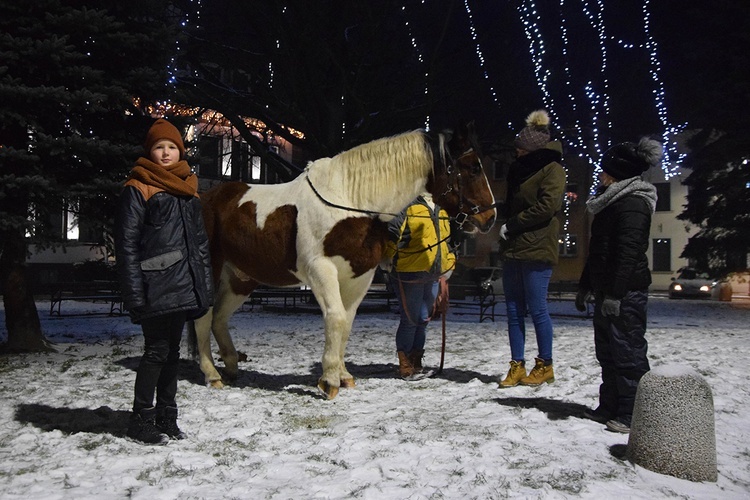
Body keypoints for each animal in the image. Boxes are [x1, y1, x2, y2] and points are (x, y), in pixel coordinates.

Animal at [191, 121, 500, 398]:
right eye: (473, 167)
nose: (490, 217)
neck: (350, 203)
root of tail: (205, 199)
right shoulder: (321, 270)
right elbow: (336, 318)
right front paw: (329, 381)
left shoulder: (359, 276)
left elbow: (347, 323)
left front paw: (343, 376)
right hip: (211, 269)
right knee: (204, 317)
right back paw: (211, 374)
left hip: (241, 278)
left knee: (219, 317)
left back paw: (231, 365)